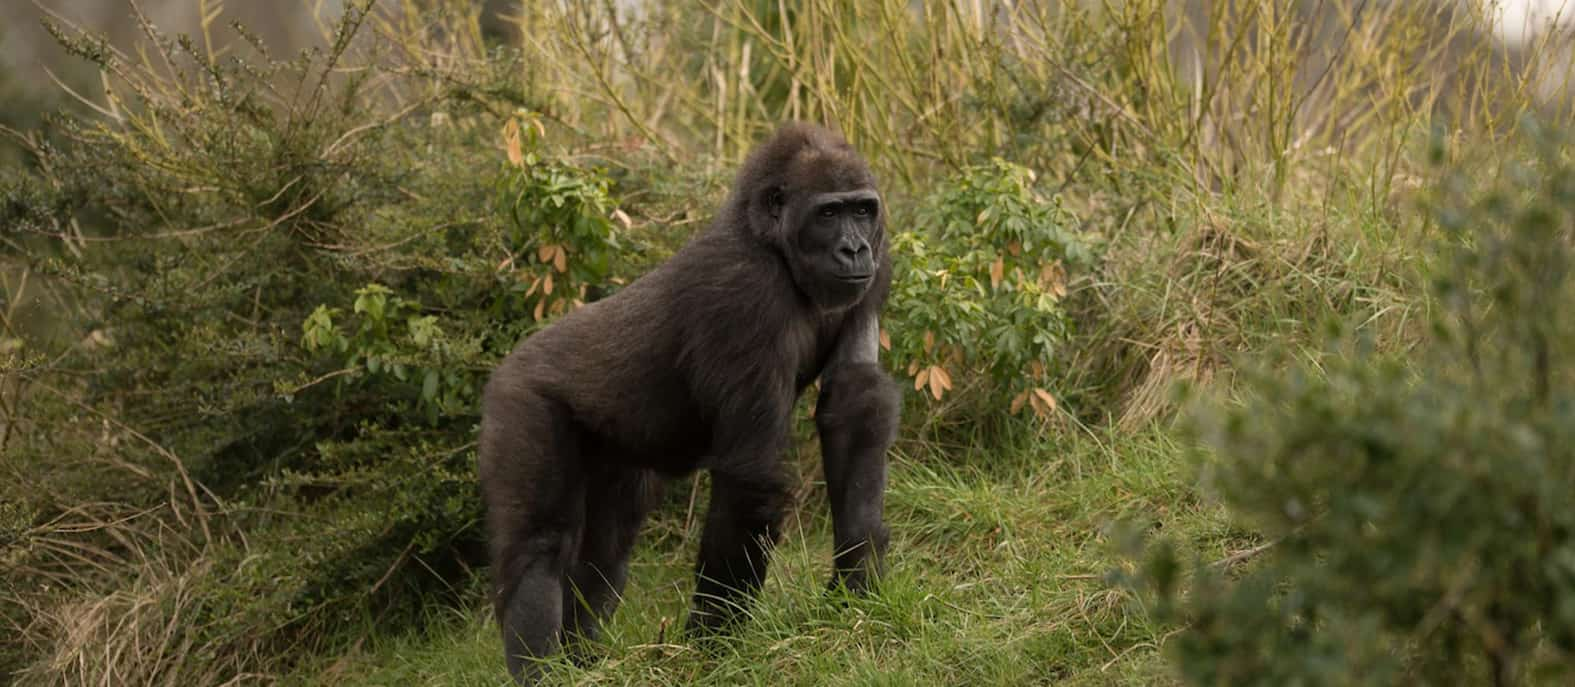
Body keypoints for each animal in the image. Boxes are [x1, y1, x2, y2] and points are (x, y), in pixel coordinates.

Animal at [475, 120, 900, 683]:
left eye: (862, 210)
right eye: (828, 214)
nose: (854, 250)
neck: (769, 244)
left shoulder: (877, 266)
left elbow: (854, 404)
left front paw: (854, 584)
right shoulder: (743, 294)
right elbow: (750, 481)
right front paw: (711, 646)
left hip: (614, 451)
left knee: (604, 552)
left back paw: (584, 659)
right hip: (519, 398)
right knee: (539, 543)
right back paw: (543, 670)